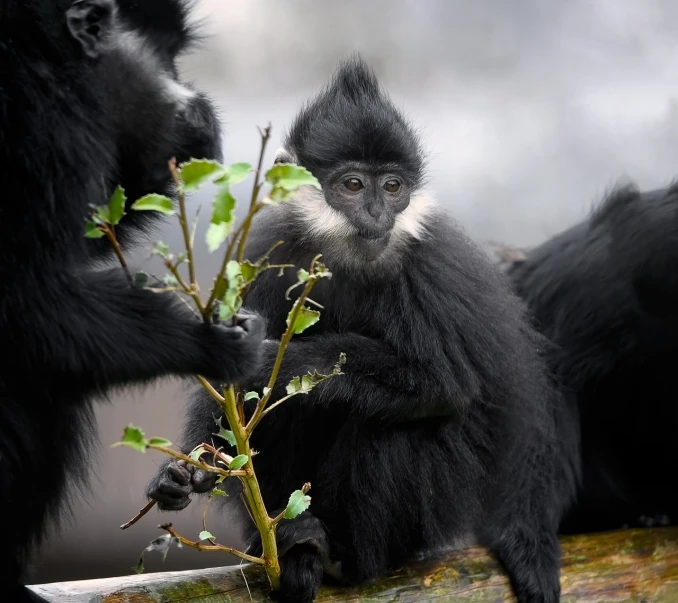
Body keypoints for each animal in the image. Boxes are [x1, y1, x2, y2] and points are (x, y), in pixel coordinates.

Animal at [147, 57, 580, 603]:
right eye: (353, 185)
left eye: (392, 187)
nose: (377, 211)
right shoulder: (272, 247)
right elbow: (232, 407)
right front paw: (182, 472)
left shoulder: (429, 265)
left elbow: (445, 383)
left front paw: (278, 362)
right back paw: (291, 546)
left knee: (389, 426)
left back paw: (343, 559)